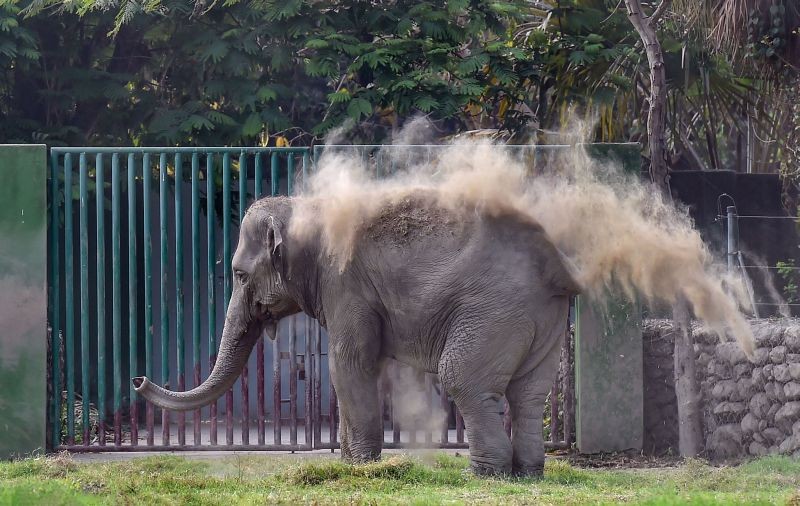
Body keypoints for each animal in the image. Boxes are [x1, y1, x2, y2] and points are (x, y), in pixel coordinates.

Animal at [132, 194, 579, 476]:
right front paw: (349, 464)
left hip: (493, 311)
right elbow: (363, 365)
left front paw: (362, 466)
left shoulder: (345, 284)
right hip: (540, 318)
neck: (307, 207)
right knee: (529, 394)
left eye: (241, 275)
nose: (138, 379)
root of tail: (557, 267)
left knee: (463, 378)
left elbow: (350, 364)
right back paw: (528, 473)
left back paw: (487, 474)